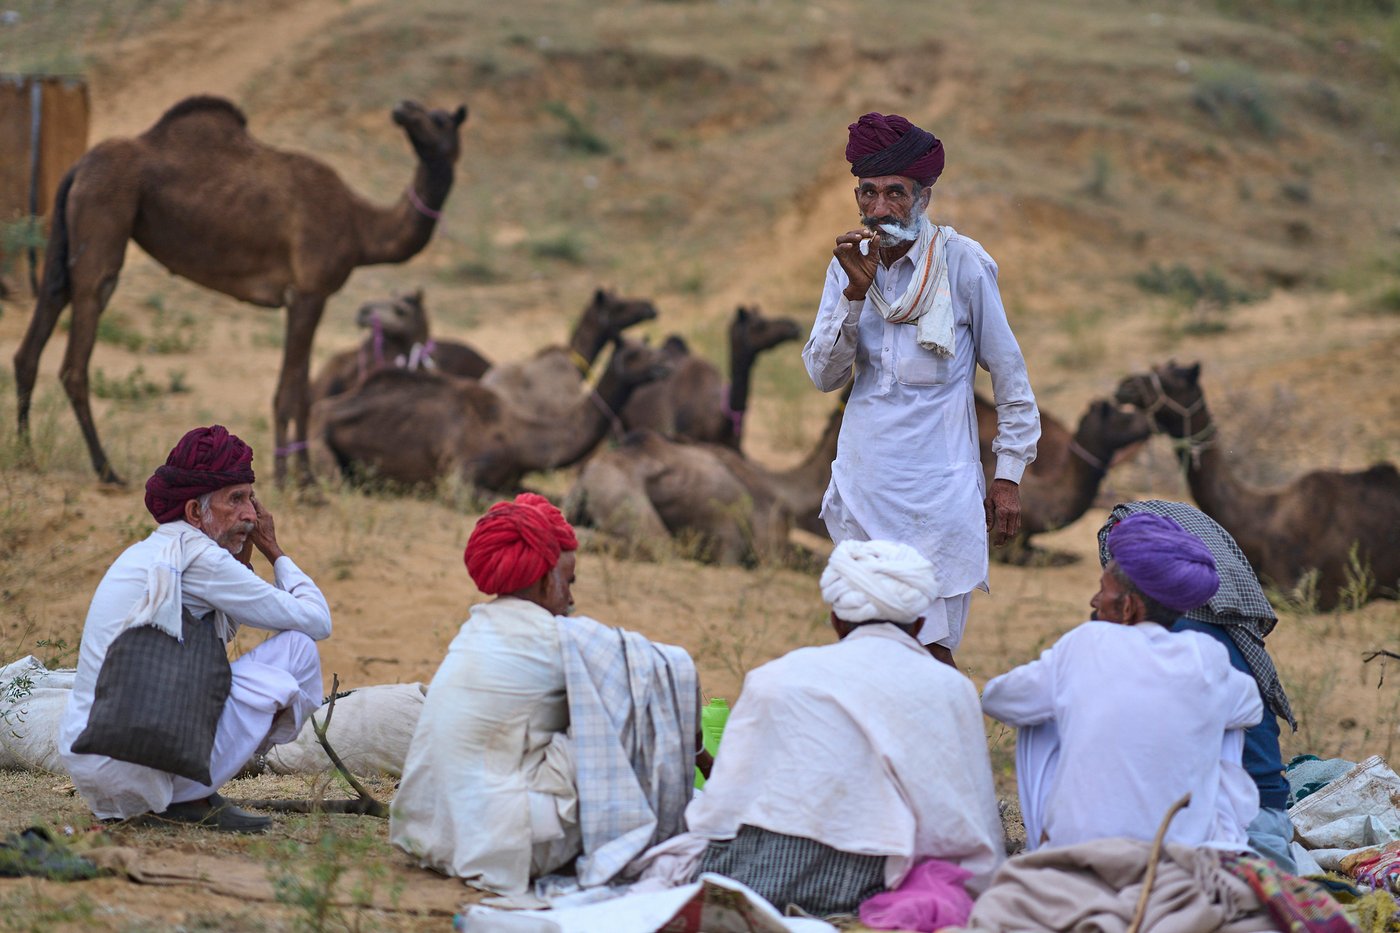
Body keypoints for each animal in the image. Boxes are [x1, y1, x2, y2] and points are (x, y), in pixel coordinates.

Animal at [13, 95, 467, 485]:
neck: (362, 228)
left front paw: (301, 479)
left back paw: (27, 455)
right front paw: (295, 482)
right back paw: (106, 470)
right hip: (103, 216)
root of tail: (78, 166)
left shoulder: (304, 296)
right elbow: (291, 393)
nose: (403, 108)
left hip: (65, 233)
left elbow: (302, 391)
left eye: (440, 118)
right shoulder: (309, 292)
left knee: (36, 333)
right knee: (77, 352)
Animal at [310, 337, 671, 493]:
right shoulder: (460, 477)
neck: (518, 437)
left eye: (651, 348)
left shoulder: (513, 477)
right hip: (320, 438)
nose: (664, 363)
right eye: (635, 353)